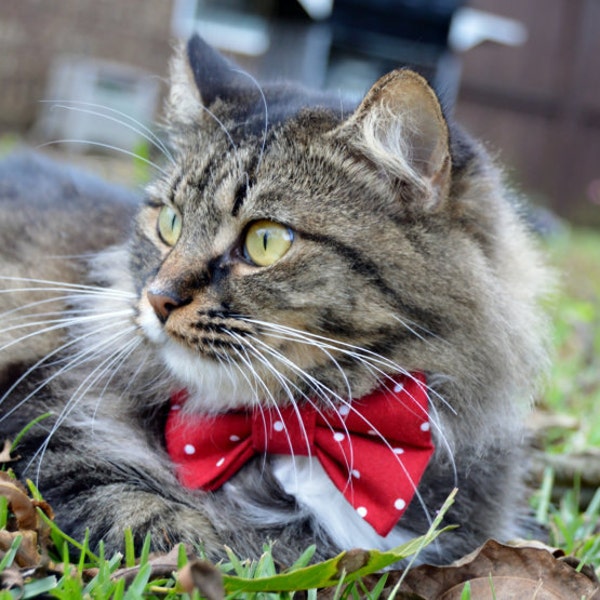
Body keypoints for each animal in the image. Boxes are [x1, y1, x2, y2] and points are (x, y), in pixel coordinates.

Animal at [0, 35, 548, 564]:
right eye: (170, 223)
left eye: (266, 241)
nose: (157, 299)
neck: (294, 430)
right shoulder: (39, 423)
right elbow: (142, 513)